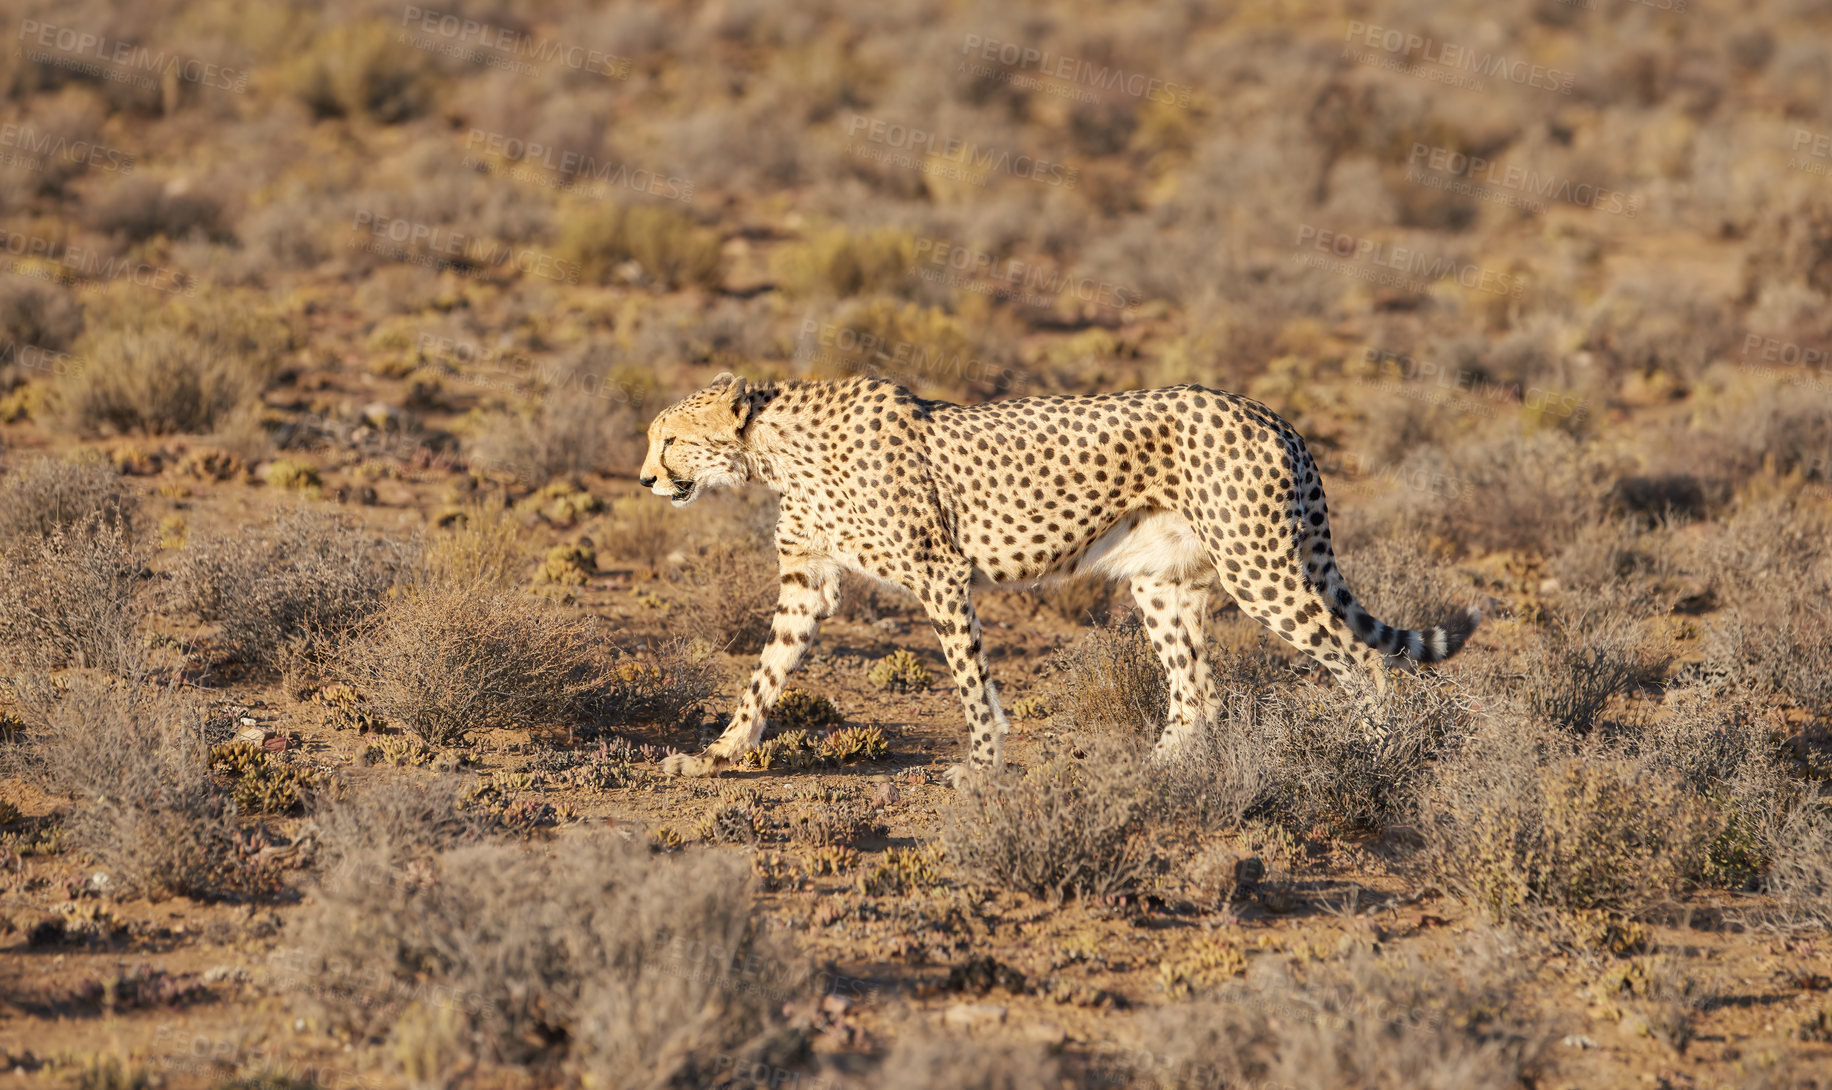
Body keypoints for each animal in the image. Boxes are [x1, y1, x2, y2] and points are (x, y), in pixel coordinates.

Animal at [637, 373, 1480, 776]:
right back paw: (1153, 772)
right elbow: (765, 671)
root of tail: (1270, 414)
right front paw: (722, 752)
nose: (645, 479)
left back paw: (1376, 753)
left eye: (671, 439)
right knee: (1200, 695)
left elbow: (970, 681)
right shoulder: (808, 582)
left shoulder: (941, 572)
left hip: (1258, 566)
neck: (773, 447)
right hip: (1162, 581)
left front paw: (982, 765)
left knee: (1364, 659)